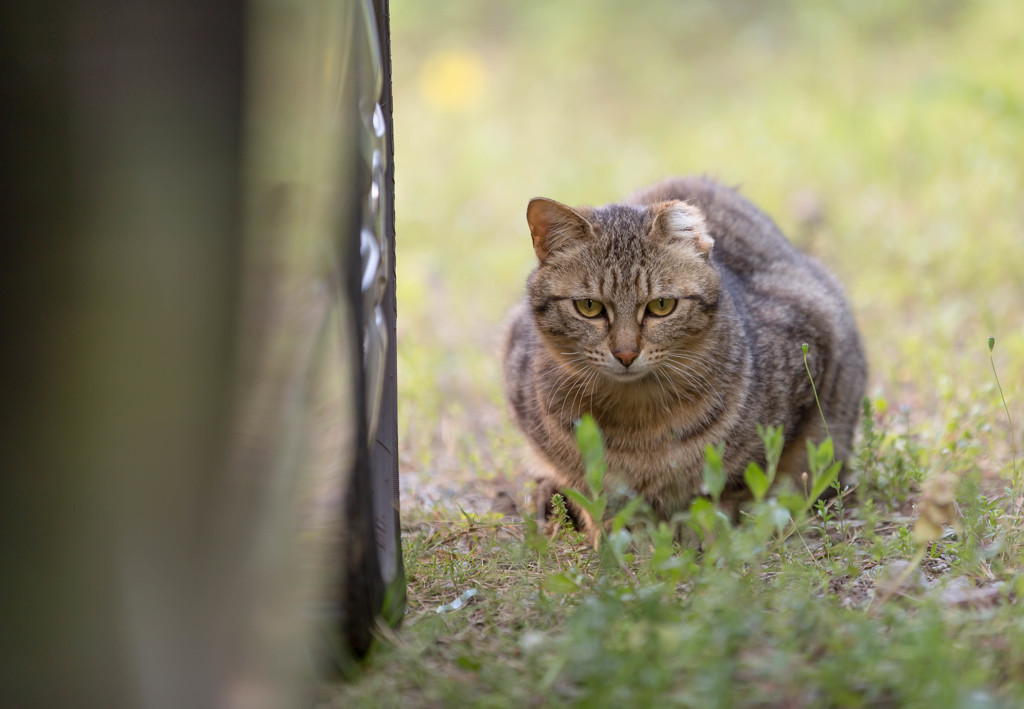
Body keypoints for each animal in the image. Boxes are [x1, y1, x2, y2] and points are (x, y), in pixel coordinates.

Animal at [503, 176, 864, 532]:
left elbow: (731, 487)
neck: (636, 420)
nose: (626, 354)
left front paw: (702, 531)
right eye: (589, 307)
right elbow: (591, 492)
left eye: (661, 306)